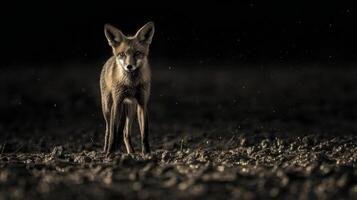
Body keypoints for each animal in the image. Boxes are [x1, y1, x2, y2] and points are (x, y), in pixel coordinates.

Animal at [99, 22, 154, 156]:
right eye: (122, 54)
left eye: (137, 53)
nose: (129, 66)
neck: (131, 84)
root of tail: (110, 59)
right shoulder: (117, 103)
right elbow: (113, 133)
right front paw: (110, 153)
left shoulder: (142, 103)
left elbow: (144, 133)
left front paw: (147, 153)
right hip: (107, 108)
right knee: (108, 130)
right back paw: (106, 150)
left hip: (131, 110)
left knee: (125, 133)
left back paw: (131, 153)